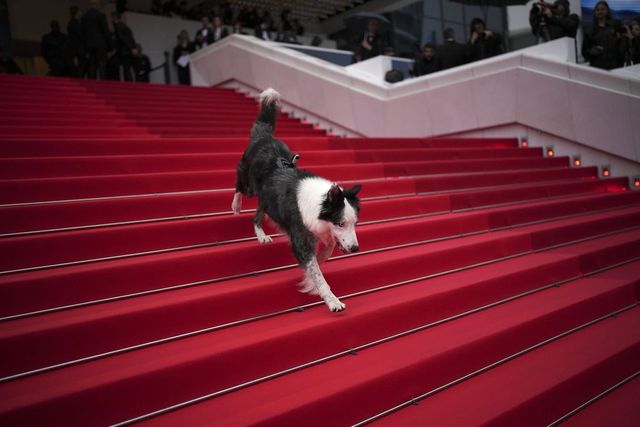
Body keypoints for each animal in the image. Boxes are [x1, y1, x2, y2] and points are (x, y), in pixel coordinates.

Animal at [231, 88, 362, 312]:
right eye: (341, 223)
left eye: (355, 223)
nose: (355, 249)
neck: (319, 202)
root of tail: (264, 135)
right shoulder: (300, 237)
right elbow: (316, 271)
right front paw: (331, 300)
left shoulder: (319, 232)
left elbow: (324, 254)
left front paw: (308, 279)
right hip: (248, 182)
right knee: (240, 187)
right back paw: (236, 206)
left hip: (267, 199)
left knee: (257, 216)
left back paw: (261, 235)